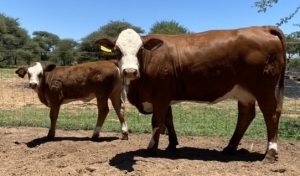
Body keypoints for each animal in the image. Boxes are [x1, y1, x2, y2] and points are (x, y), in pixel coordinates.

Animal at [95, 26, 286, 162]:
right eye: (117, 50)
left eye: (140, 50)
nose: (129, 71)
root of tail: (262, 28)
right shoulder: (166, 96)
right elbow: (168, 119)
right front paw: (172, 145)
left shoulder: (160, 95)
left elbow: (157, 121)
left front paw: (151, 148)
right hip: (244, 92)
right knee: (246, 115)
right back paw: (230, 148)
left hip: (263, 88)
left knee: (271, 114)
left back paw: (270, 153)